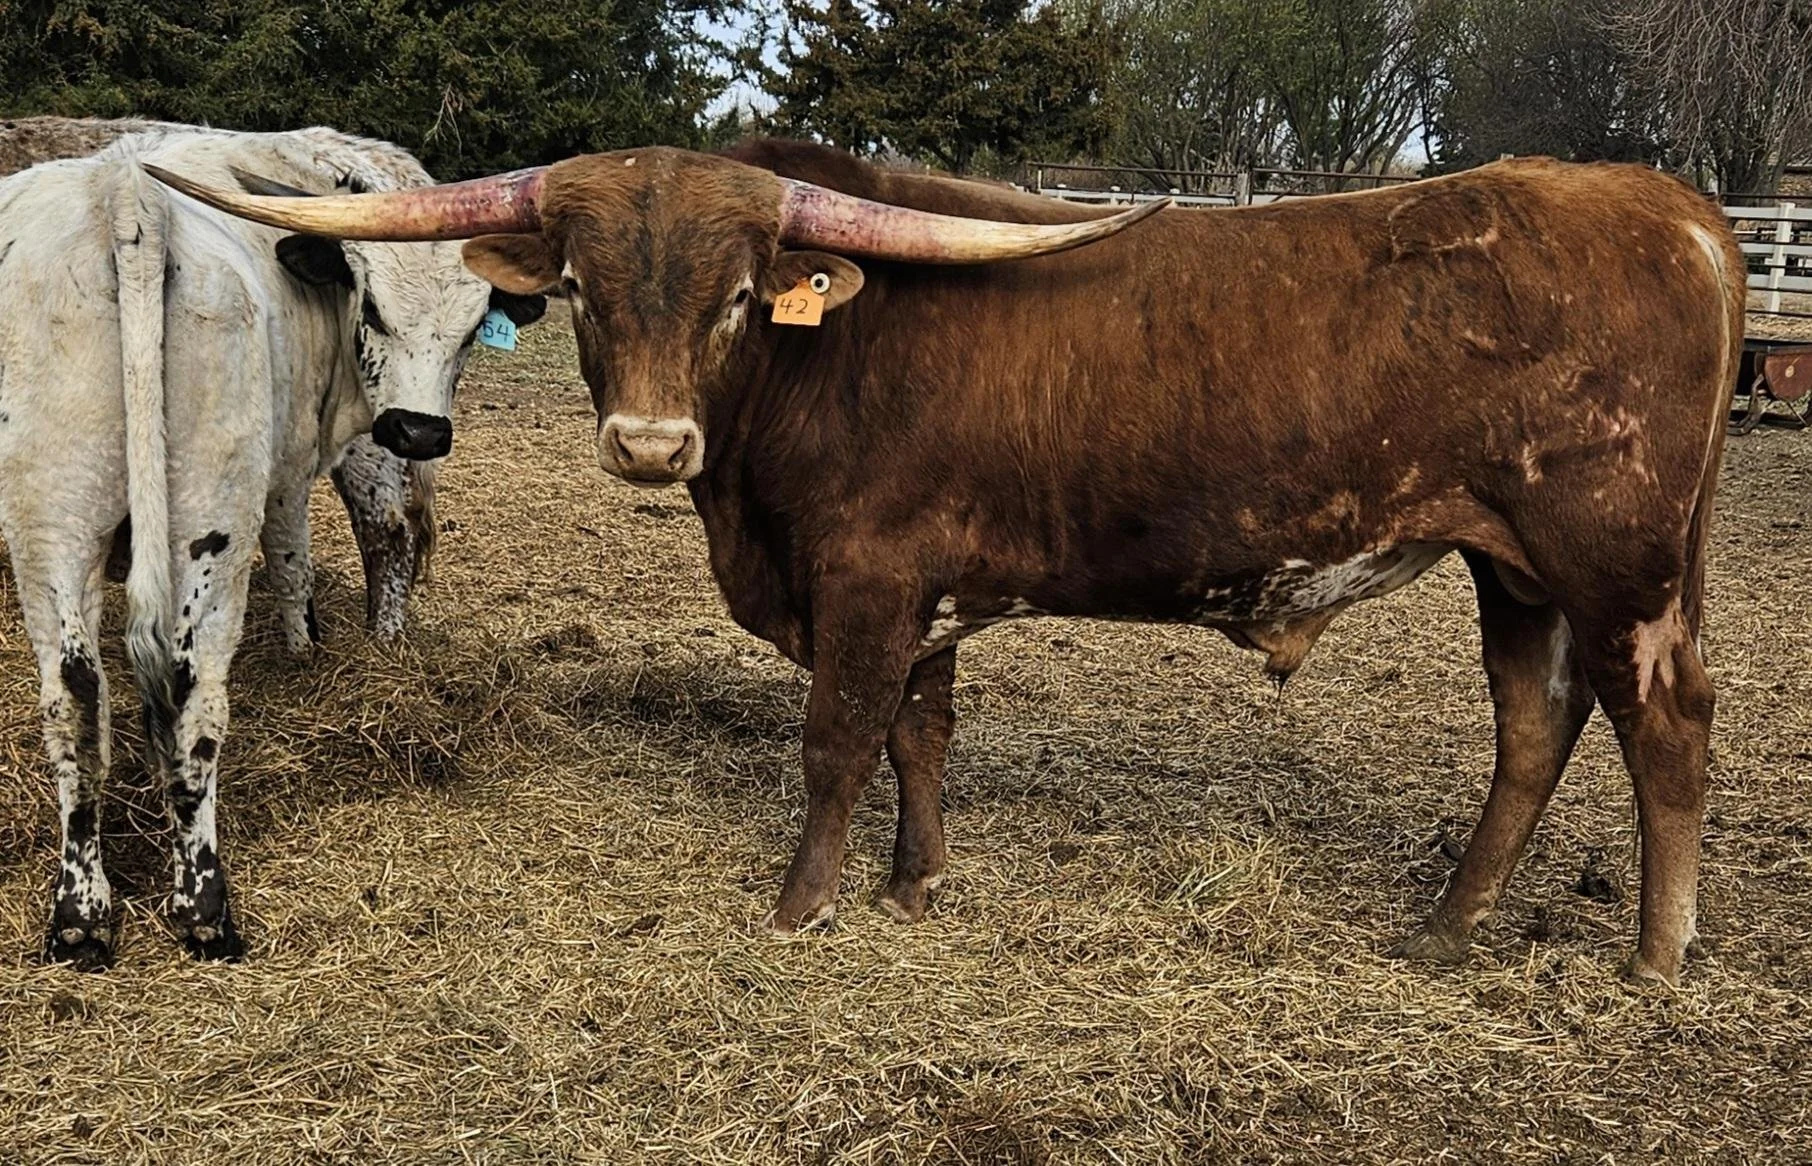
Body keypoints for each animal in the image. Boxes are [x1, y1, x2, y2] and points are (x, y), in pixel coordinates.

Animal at [156, 138, 1744, 985]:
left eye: (740, 296)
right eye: (591, 293)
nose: (652, 444)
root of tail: (1670, 206)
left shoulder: (865, 580)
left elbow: (837, 740)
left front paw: (804, 904)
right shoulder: (920, 595)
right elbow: (919, 735)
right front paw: (915, 884)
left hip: (1617, 565)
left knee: (1664, 725)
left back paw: (1656, 954)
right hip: (1513, 567)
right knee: (1534, 723)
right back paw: (1450, 923)